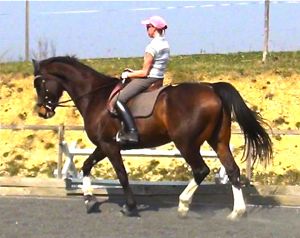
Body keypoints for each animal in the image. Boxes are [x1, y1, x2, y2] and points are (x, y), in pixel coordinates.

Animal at [32, 55, 272, 219]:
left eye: (39, 83)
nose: (43, 112)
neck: (95, 96)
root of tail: (212, 88)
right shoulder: (104, 145)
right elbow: (86, 165)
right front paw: (89, 200)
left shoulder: (110, 146)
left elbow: (122, 175)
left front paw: (130, 207)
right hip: (218, 140)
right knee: (232, 170)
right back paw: (237, 212)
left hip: (186, 143)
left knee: (201, 170)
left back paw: (183, 204)